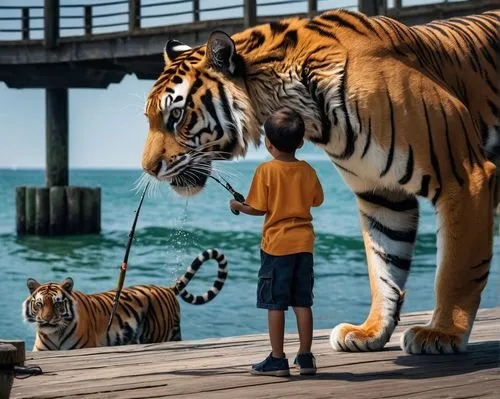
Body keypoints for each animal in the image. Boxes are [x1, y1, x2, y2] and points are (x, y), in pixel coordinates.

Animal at [23, 248, 227, 352]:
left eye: (57, 304)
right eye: (39, 304)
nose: (46, 320)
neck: (54, 334)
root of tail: (167, 289)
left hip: (159, 333)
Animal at [139, 9, 498, 354]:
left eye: (176, 115)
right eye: (150, 118)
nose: (148, 168)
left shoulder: (463, 175)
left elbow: (456, 269)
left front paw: (442, 334)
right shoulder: (381, 194)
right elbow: (384, 268)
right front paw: (370, 331)